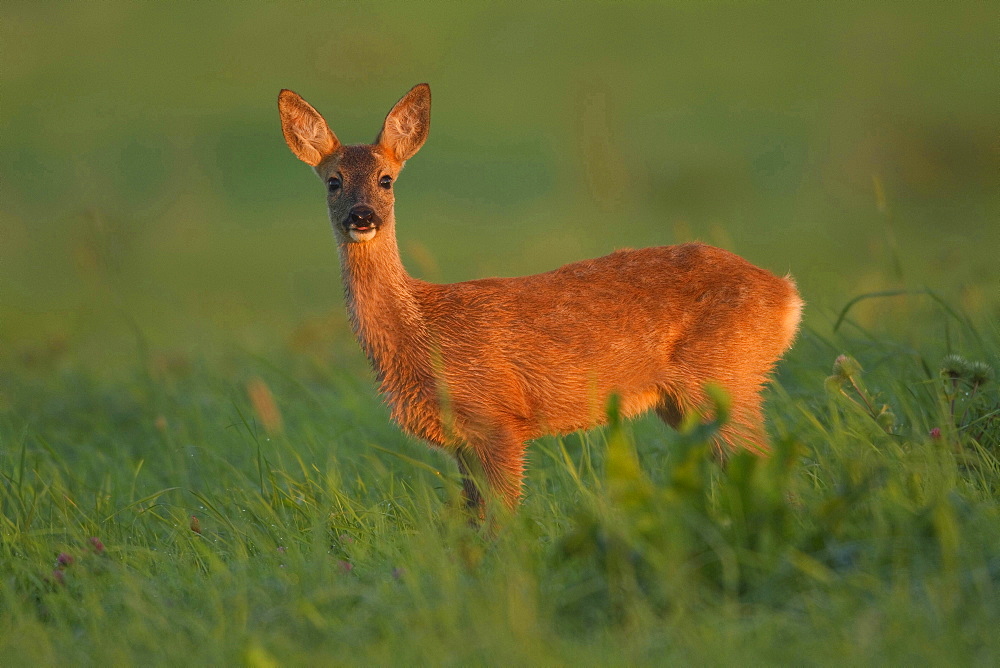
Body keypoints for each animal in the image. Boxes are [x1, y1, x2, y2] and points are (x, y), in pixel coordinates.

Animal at [280, 83, 804, 512]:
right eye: (333, 181)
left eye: (386, 179)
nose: (362, 216)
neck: (422, 330)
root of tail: (787, 295)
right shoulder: (463, 441)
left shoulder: (498, 420)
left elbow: (502, 524)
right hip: (689, 400)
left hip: (724, 377)